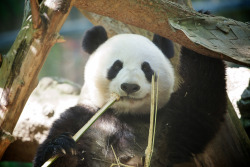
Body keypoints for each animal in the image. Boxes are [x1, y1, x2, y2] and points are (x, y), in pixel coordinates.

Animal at [34, 25, 228, 167]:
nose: (129, 86)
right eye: (116, 66)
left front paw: (199, 40)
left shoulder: (168, 122)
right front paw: (60, 148)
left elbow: (200, 108)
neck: (125, 115)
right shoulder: (81, 119)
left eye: (146, 68)